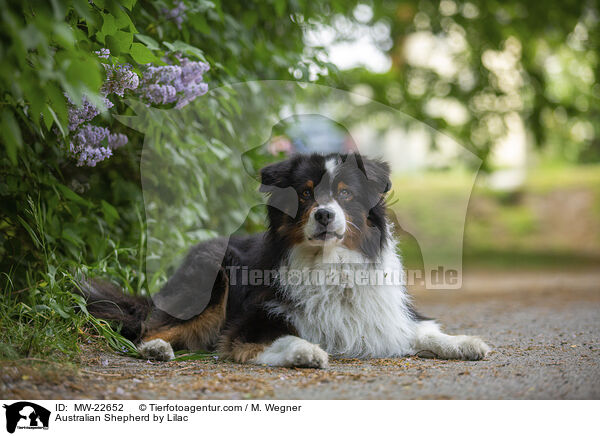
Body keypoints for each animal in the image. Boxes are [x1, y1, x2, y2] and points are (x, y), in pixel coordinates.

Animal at [82, 152, 490, 366]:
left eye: (344, 194)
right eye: (306, 194)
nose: (323, 215)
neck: (329, 265)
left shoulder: (387, 318)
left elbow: (427, 331)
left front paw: (465, 343)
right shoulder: (247, 328)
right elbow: (284, 338)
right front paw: (308, 351)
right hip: (212, 281)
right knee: (149, 327)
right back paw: (155, 348)